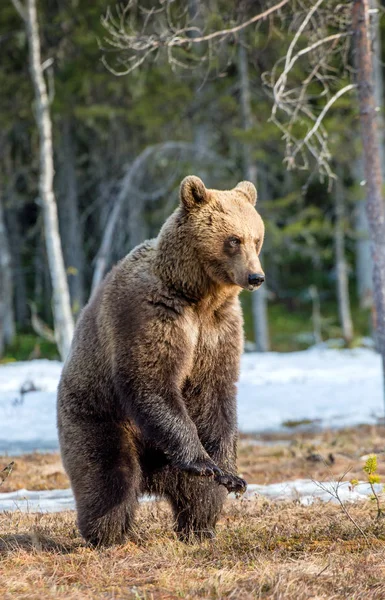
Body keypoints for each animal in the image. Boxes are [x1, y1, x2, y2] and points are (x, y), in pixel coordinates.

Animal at [57, 176, 266, 548]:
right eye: (233, 240)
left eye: (256, 238)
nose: (256, 277)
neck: (196, 294)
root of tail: (153, 477)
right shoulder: (151, 313)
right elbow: (151, 380)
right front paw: (203, 462)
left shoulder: (218, 329)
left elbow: (216, 393)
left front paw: (231, 475)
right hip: (95, 412)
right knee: (108, 478)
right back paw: (106, 535)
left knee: (197, 494)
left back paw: (198, 528)